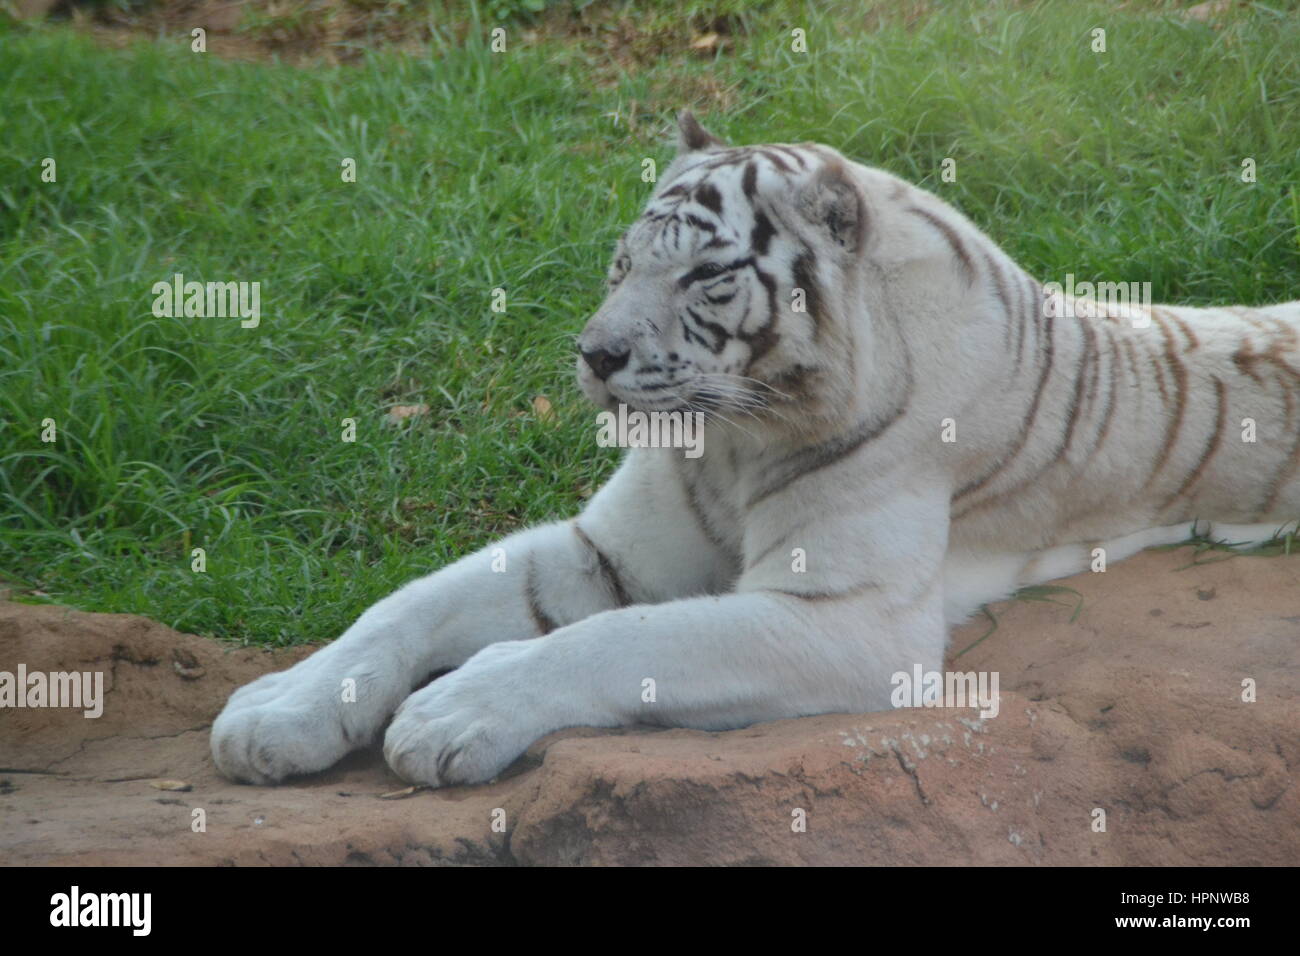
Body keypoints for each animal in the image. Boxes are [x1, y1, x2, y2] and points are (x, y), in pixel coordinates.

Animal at [211, 111, 1300, 788]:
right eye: (620, 263)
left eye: (703, 275)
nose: (594, 355)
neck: (728, 442)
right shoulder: (602, 550)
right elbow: (402, 604)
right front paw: (274, 712)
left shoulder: (851, 619)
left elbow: (626, 640)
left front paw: (451, 716)